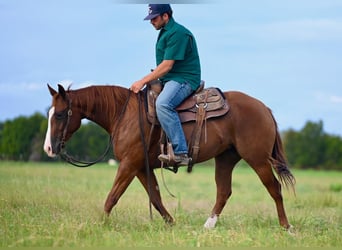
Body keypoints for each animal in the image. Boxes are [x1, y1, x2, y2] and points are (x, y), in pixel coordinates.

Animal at [42, 84, 294, 230]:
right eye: (50, 113)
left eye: (61, 114)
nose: (49, 148)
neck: (125, 115)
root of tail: (264, 108)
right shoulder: (140, 167)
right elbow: (155, 197)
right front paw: (171, 223)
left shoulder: (128, 165)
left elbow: (112, 196)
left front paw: (99, 225)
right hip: (225, 159)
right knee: (224, 192)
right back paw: (208, 226)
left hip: (258, 160)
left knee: (274, 189)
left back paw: (286, 226)